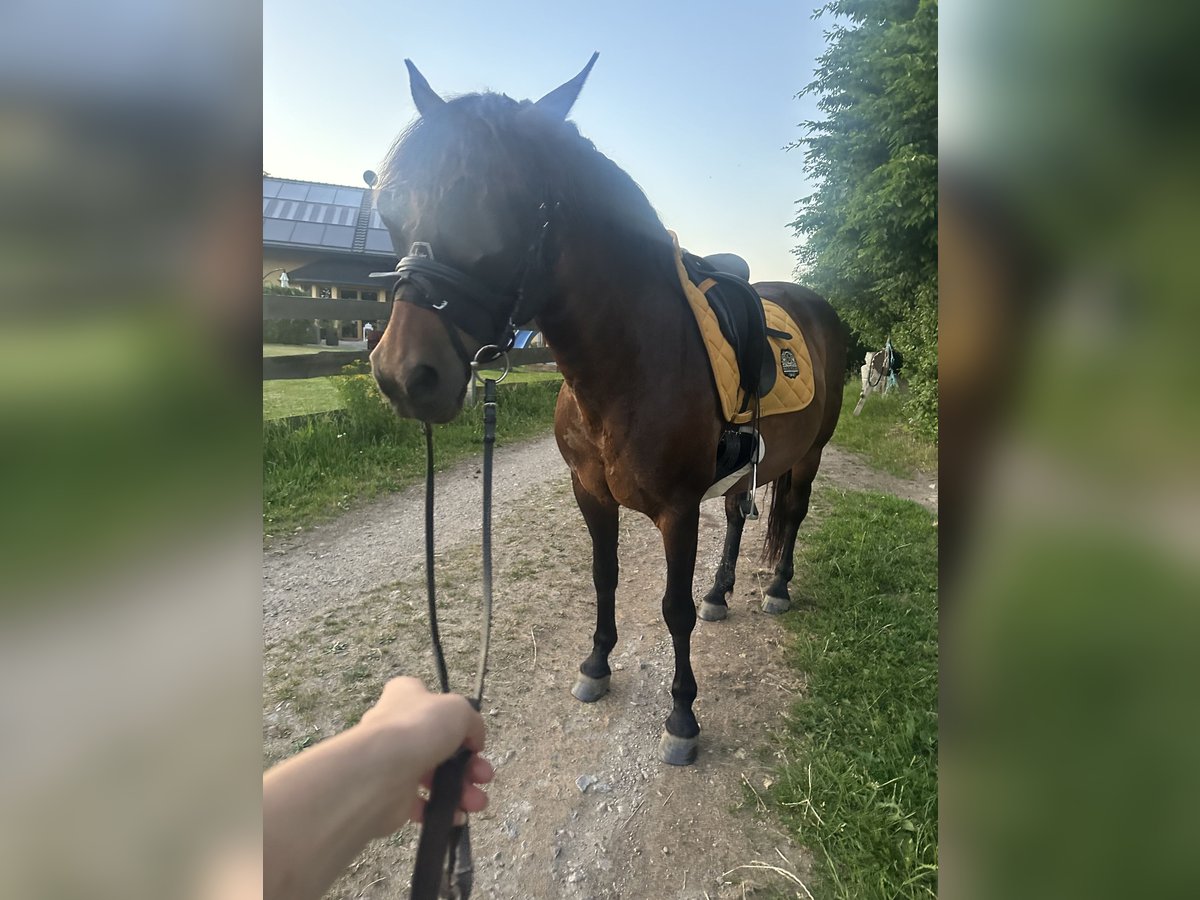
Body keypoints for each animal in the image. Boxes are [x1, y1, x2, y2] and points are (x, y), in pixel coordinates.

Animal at [369, 56, 846, 765]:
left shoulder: (678, 509)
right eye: (393, 206)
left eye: (494, 205)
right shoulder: (590, 493)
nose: (404, 375)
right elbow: (605, 576)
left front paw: (682, 717)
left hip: (810, 454)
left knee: (791, 514)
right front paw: (596, 666)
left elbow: (673, 608)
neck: (628, 363)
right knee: (740, 515)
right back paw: (722, 591)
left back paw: (777, 588)